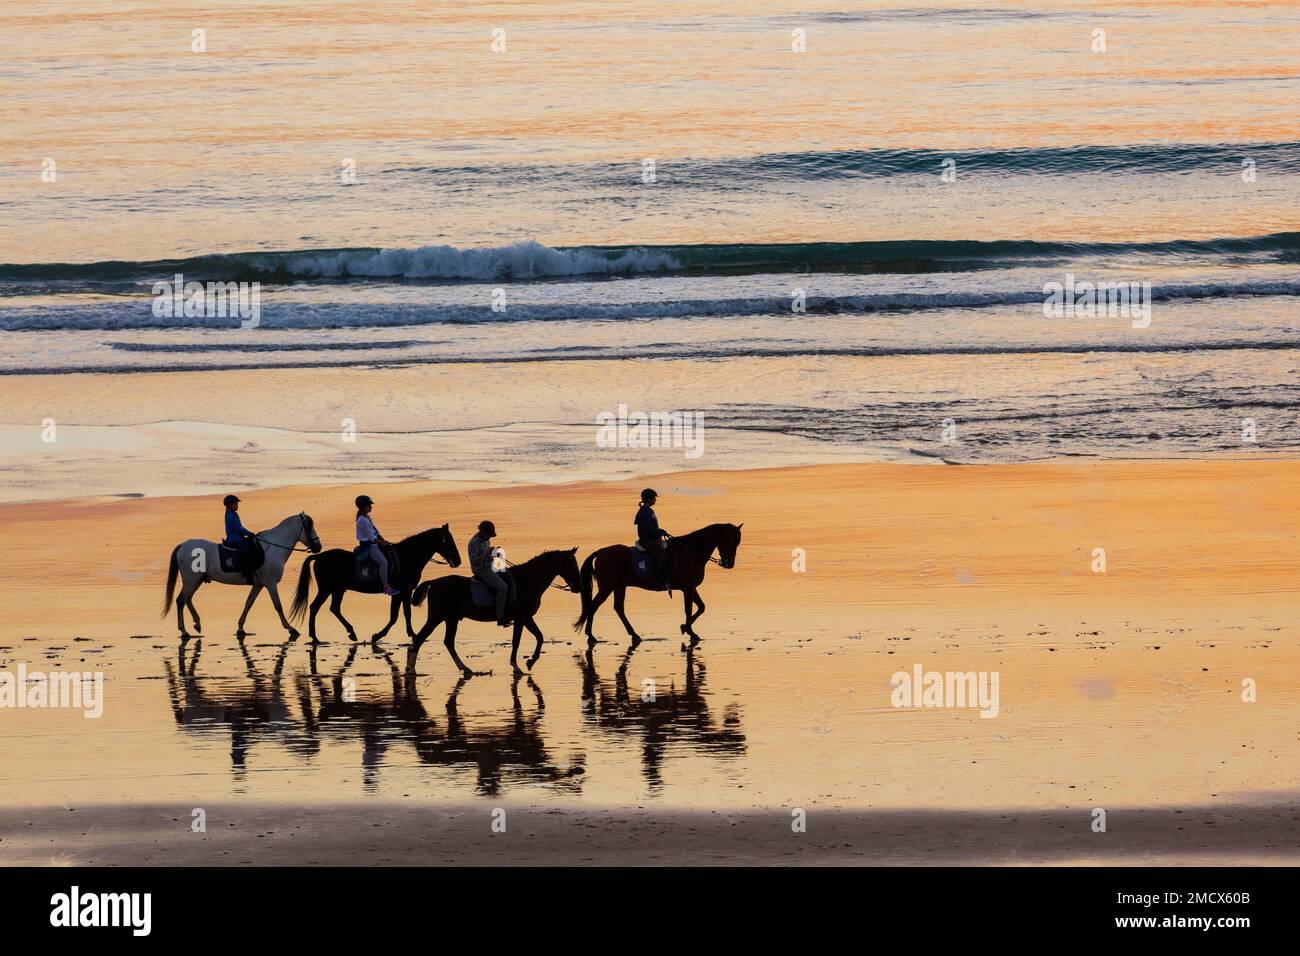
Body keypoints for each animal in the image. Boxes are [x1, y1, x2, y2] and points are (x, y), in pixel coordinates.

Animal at [161, 512, 321, 639]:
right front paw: (290, 628)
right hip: (191, 580)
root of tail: (182, 546)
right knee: (181, 600)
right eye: (309, 527)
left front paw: (240, 628)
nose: (318, 547)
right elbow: (278, 605)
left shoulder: (259, 584)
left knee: (187, 599)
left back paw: (197, 624)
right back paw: (184, 631)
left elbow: (248, 603)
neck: (274, 547)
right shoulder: (270, 583)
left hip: (197, 580)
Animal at [291, 522, 462, 642]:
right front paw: (379, 635)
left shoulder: (405, 592)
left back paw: (350, 633)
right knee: (315, 607)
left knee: (334, 608)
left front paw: (411, 634)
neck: (407, 557)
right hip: (327, 589)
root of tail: (319, 556)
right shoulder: (401, 592)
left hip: (338, 590)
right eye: (448, 541)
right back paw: (315, 637)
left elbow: (405, 614)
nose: (458, 561)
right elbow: (395, 616)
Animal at [408, 548, 582, 676]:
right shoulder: (523, 617)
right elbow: (529, 639)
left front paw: (523, 664)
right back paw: (412, 670)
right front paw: (525, 664)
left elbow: (531, 638)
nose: (578, 587)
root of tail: (434, 582)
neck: (528, 580)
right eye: (572, 564)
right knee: (419, 638)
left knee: (448, 642)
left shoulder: (523, 618)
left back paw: (465, 668)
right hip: (436, 618)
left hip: (451, 619)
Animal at [572, 522, 743, 650]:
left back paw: (633, 634)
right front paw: (689, 631)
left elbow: (701, 607)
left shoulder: (691, 588)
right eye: (730, 541)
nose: (730, 564)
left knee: (618, 608)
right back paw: (591, 636)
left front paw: (685, 628)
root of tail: (600, 552)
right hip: (607, 588)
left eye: (737, 543)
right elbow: (689, 610)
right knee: (593, 606)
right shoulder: (687, 589)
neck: (691, 551)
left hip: (619, 587)